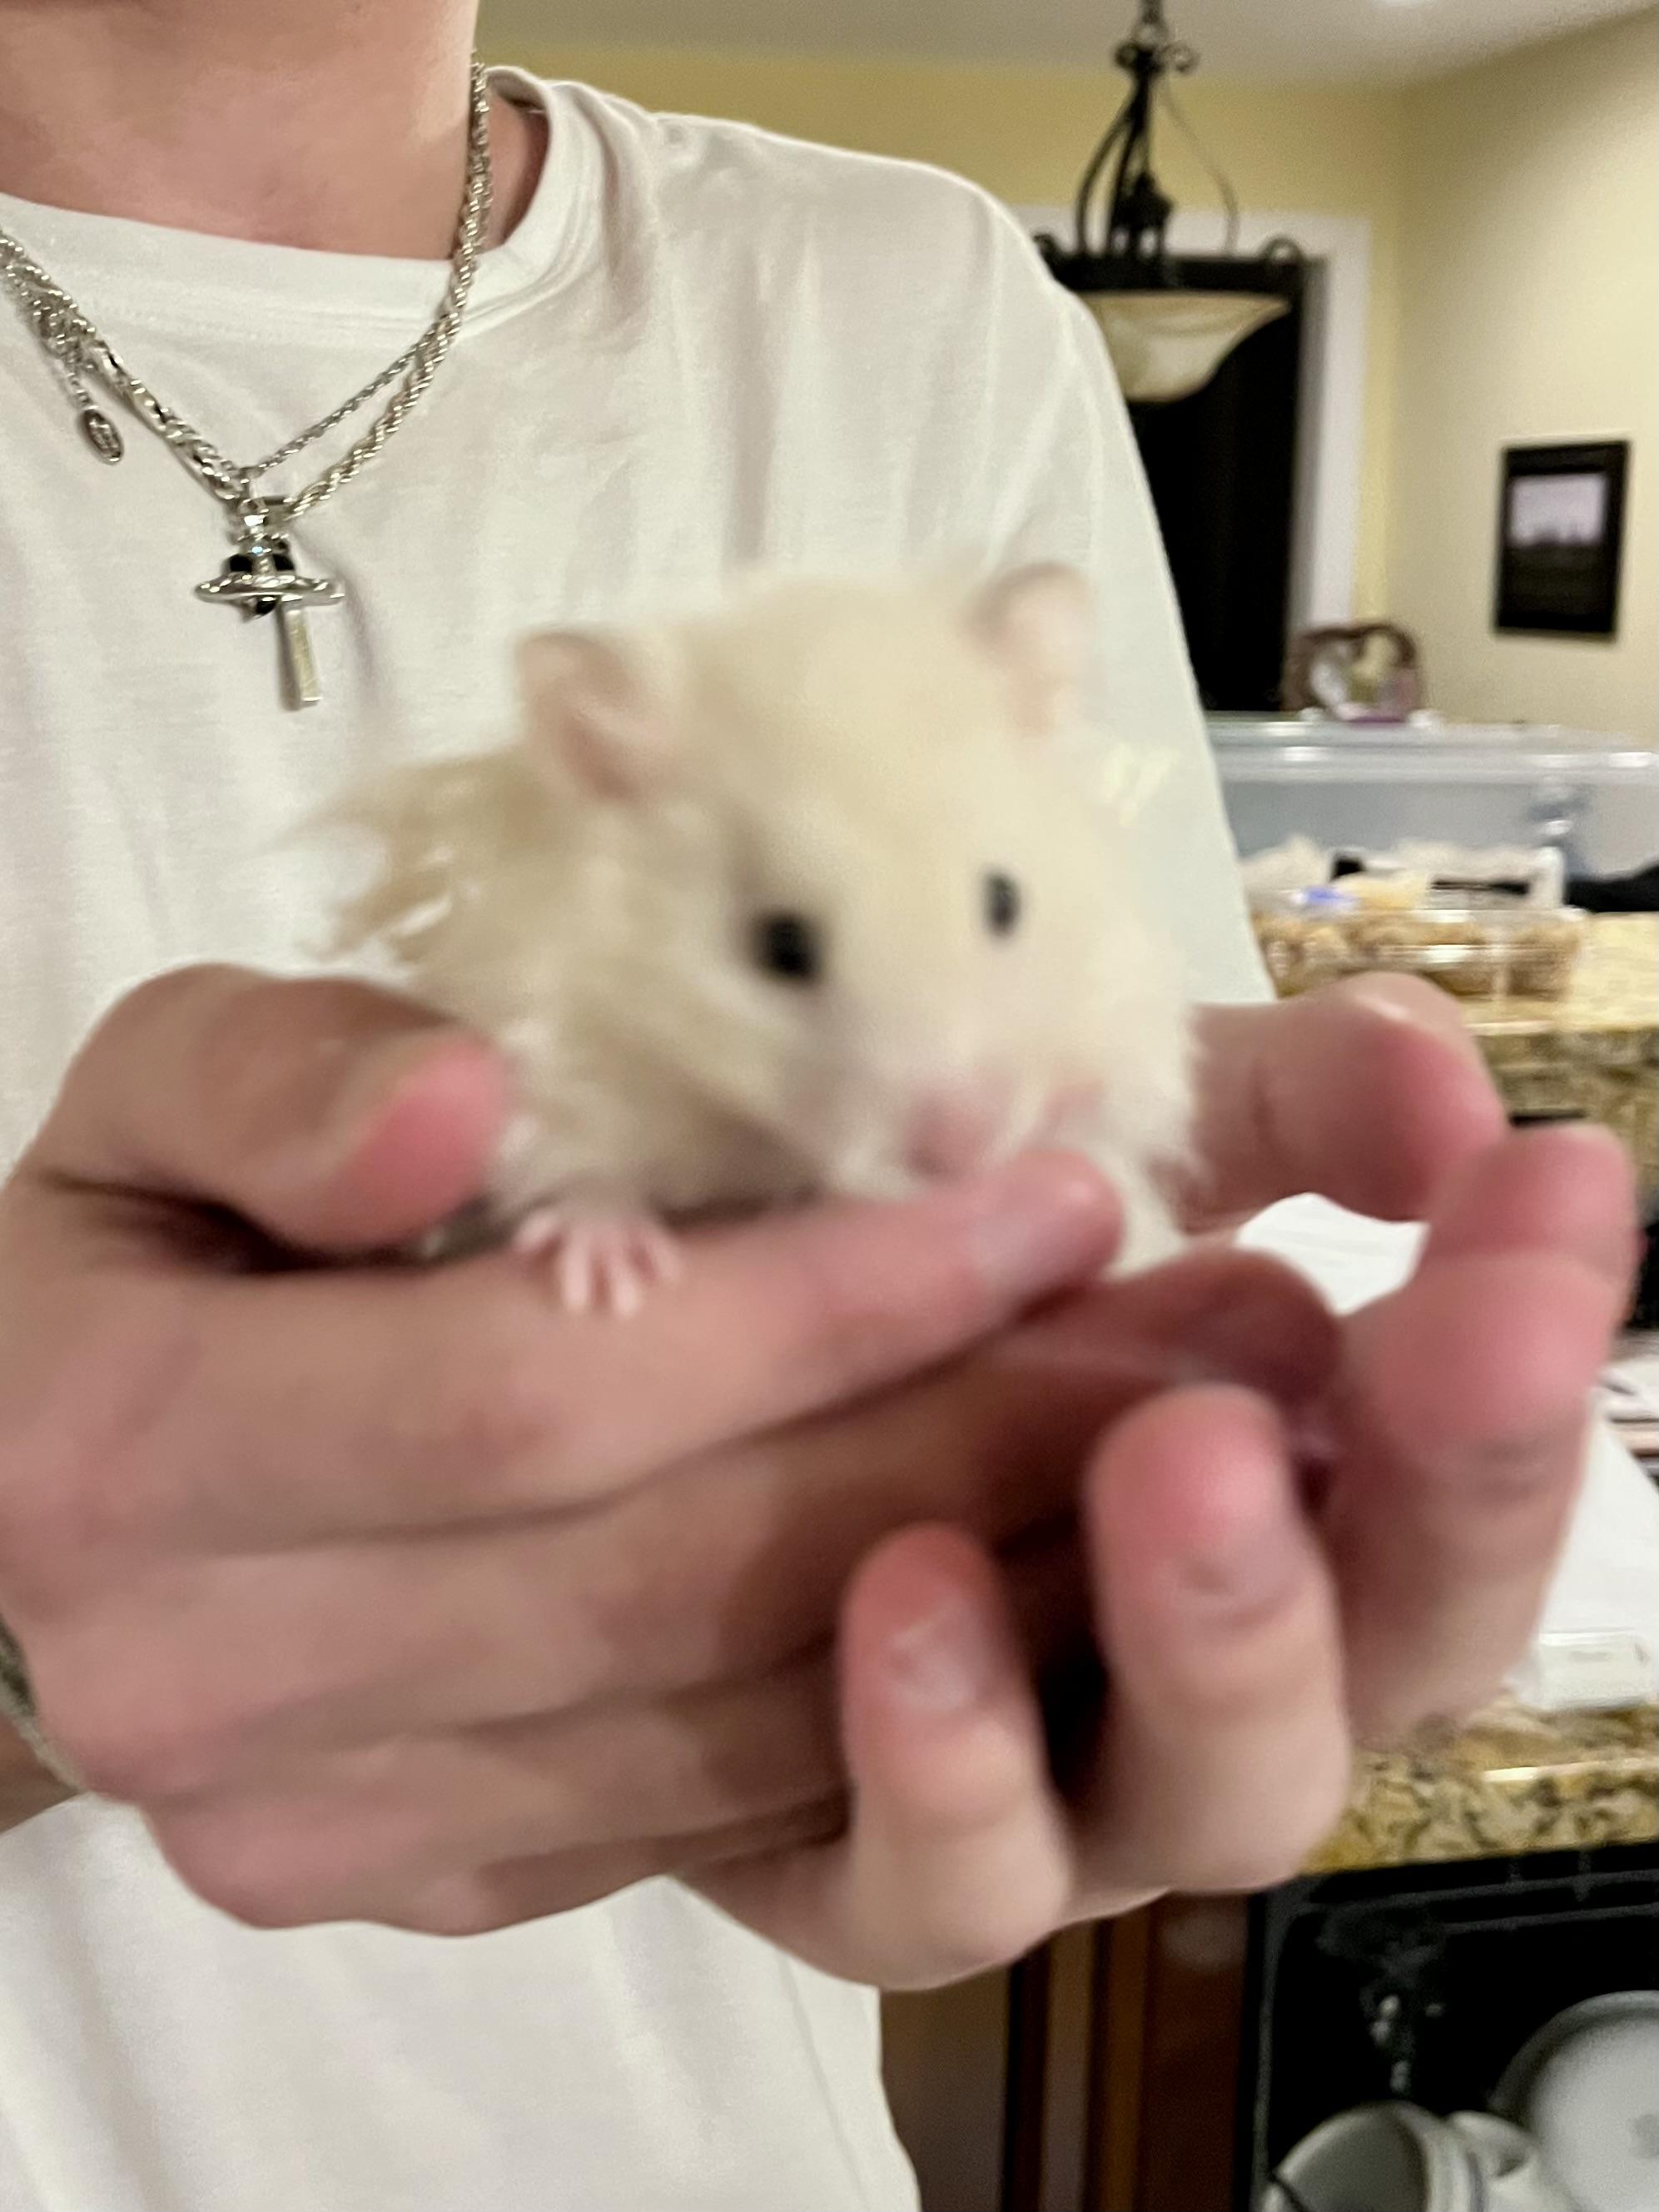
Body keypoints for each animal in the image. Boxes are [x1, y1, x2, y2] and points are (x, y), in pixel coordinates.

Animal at [321, 564, 1192, 1313]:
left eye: (1005, 901)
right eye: (781, 946)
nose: (962, 1154)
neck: (753, 1128)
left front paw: (1070, 1094)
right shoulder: (561, 1040)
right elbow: (574, 1162)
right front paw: (606, 1278)